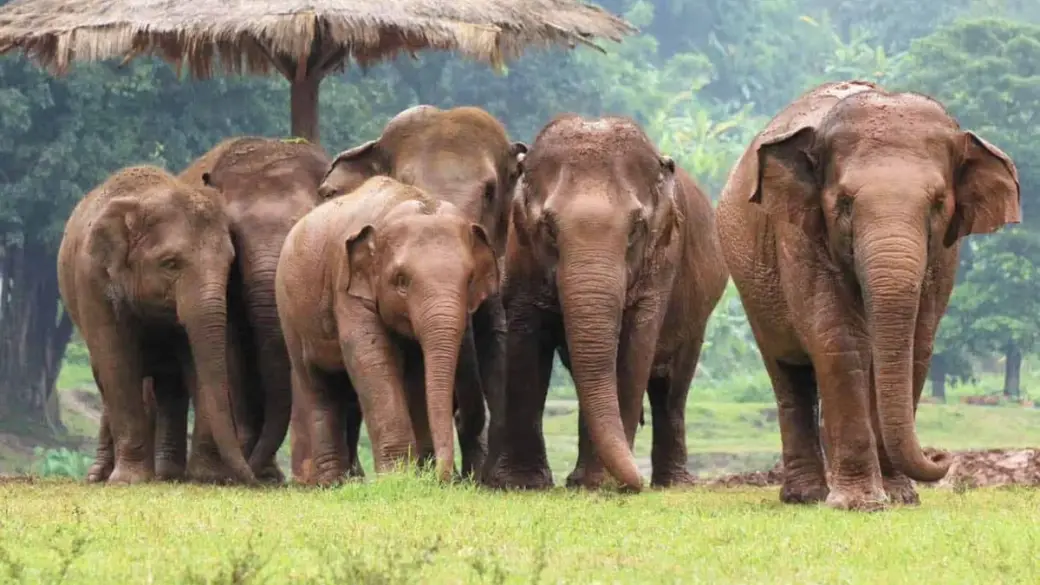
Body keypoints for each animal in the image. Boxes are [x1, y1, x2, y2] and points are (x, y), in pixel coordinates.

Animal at [56, 165, 255, 485]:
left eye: (230, 264)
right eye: (170, 263)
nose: (252, 477)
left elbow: (195, 364)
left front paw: (206, 477)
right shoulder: (93, 281)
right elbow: (117, 362)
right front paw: (129, 480)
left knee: (169, 385)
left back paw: (168, 474)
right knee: (105, 378)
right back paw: (99, 476)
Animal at [275, 176, 500, 484]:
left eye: (469, 280)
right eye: (401, 281)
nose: (445, 477)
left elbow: (417, 372)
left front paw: (419, 473)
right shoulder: (347, 288)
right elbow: (373, 359)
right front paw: (398, 477)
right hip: (290, 311)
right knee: (316, 383)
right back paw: (332, 483)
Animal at [484, 115, 729, 492]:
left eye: (636, 228)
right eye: (548, 228)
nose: (636, 482)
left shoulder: (661, 265)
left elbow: (632, 351)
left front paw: (600, 483)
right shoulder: (519, 254)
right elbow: (526, 344)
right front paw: (522, 483)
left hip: (698, 315)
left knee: (672, 388)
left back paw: (672, 483)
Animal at [714, 80, 1021, 510]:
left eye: (938, 204)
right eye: (844, 203)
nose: (941, 455)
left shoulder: (945, 253)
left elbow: (917, 345)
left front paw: (901, 497)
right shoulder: (800, 237)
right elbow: (838, 341)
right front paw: (858, 504)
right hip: (750, 285)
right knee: (788, 372)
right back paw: (806, 496)